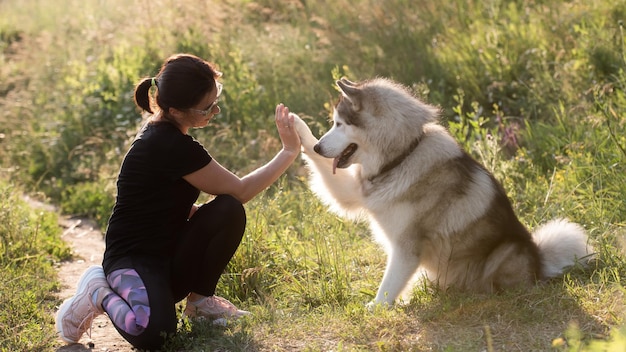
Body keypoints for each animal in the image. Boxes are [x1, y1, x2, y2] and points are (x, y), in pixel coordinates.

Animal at [290, 77, 592, 306]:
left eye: (339, 124)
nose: (319, 147)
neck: (403, 156)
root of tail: (540, 262)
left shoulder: (407, 246)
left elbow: (388, 285)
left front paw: (375, 309)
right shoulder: (353, 192)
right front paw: (294, 127)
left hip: (505, 251)